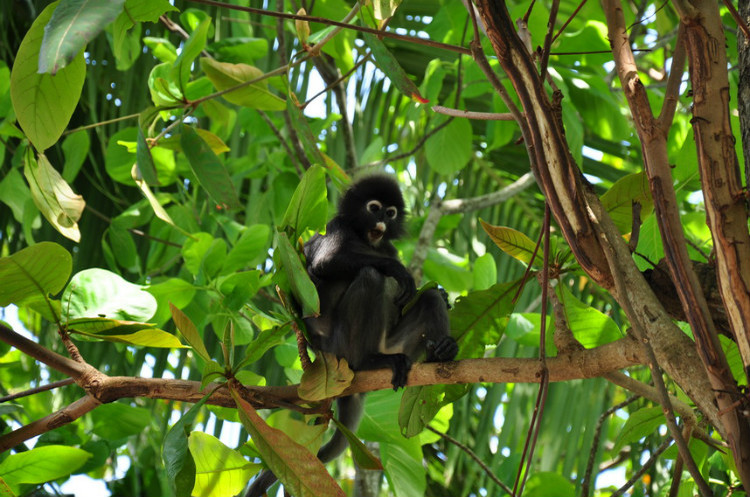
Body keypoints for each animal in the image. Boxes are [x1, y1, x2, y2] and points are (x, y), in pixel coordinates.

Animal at [247, 174, 458, 496]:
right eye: (374, 208)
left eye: (390, 213)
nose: (381, 222)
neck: (365, 239)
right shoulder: (337, 227)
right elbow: (325, 263)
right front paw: (399, 271)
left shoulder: (387, 246)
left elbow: (418, 295)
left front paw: (440, 297)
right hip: (341, 345)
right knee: (370, 275)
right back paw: (368, 362)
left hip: (395, 343)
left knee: (427, 299)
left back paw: (440, 353)